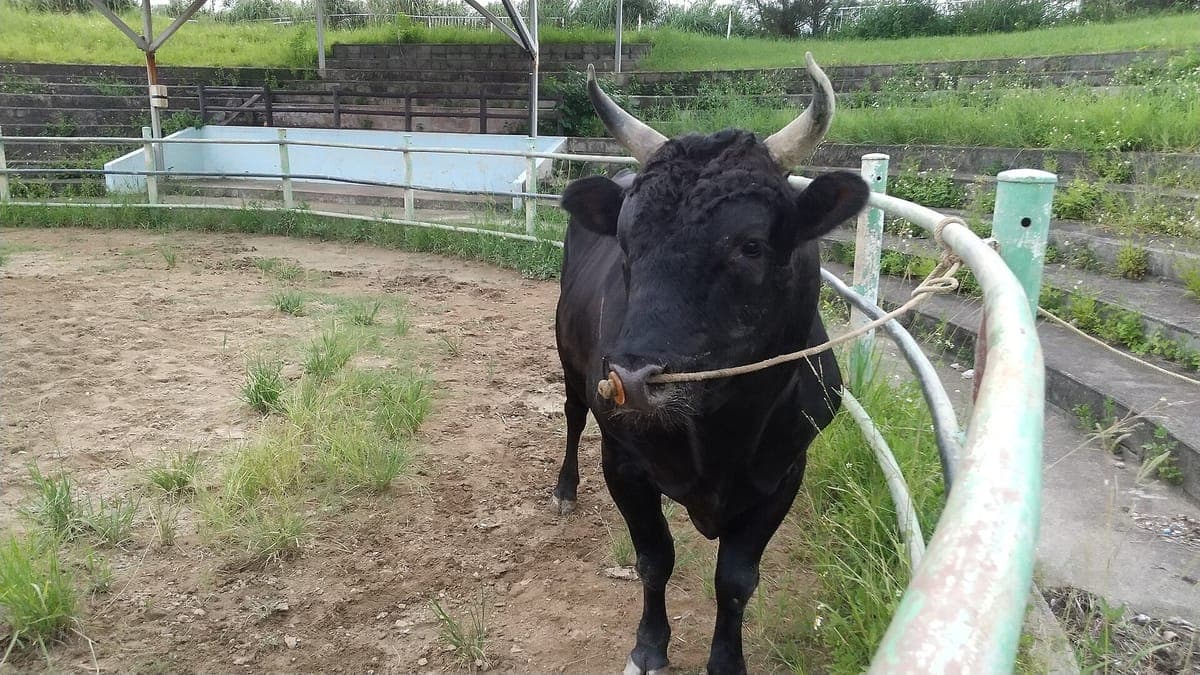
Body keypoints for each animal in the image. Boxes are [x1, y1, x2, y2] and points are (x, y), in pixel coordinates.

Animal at [549, 53, 869, 675]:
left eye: (750, 245)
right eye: (626, 244)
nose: (630, 380)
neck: (725, 429)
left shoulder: (784, 473)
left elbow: (736, 581)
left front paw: (725, 661)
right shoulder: (624, 460)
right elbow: (654, 559)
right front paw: (649, 647)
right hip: (570, 362)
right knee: (573, 417)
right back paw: (565, 489)